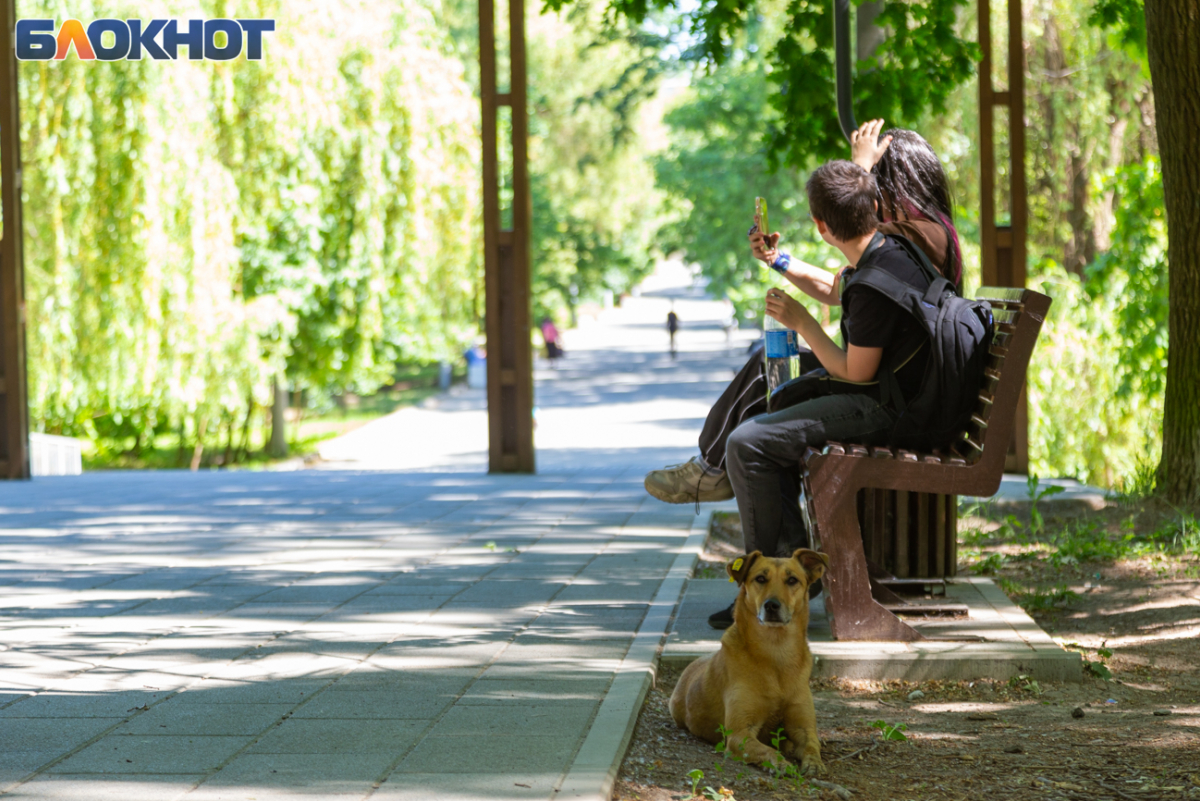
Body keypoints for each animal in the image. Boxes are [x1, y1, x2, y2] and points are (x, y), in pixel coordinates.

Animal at [672, 546, 830, 772]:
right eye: (760, 578)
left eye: (792, 580)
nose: (771, 605)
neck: (776, 652)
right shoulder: (739, 733)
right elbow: (767, 750)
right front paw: (780, 764)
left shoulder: (803, 725)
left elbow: (812, 744)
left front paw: (815, 764)